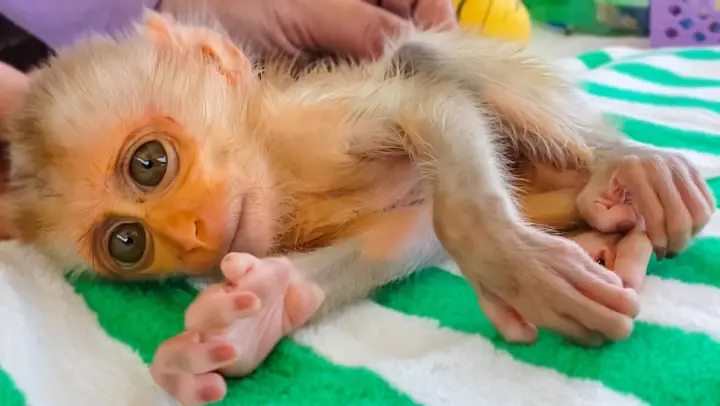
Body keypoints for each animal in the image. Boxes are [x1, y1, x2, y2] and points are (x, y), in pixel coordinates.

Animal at [0, 11, 713, 405]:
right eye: (128, 243)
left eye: (149, 163)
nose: (193, 235)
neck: (281, 167)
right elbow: (409, 224)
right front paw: (252, 317)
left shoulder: (319, 127)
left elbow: (430, 106)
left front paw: (511, 263)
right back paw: (613, 232)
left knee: (418, 53)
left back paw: (624, 160)